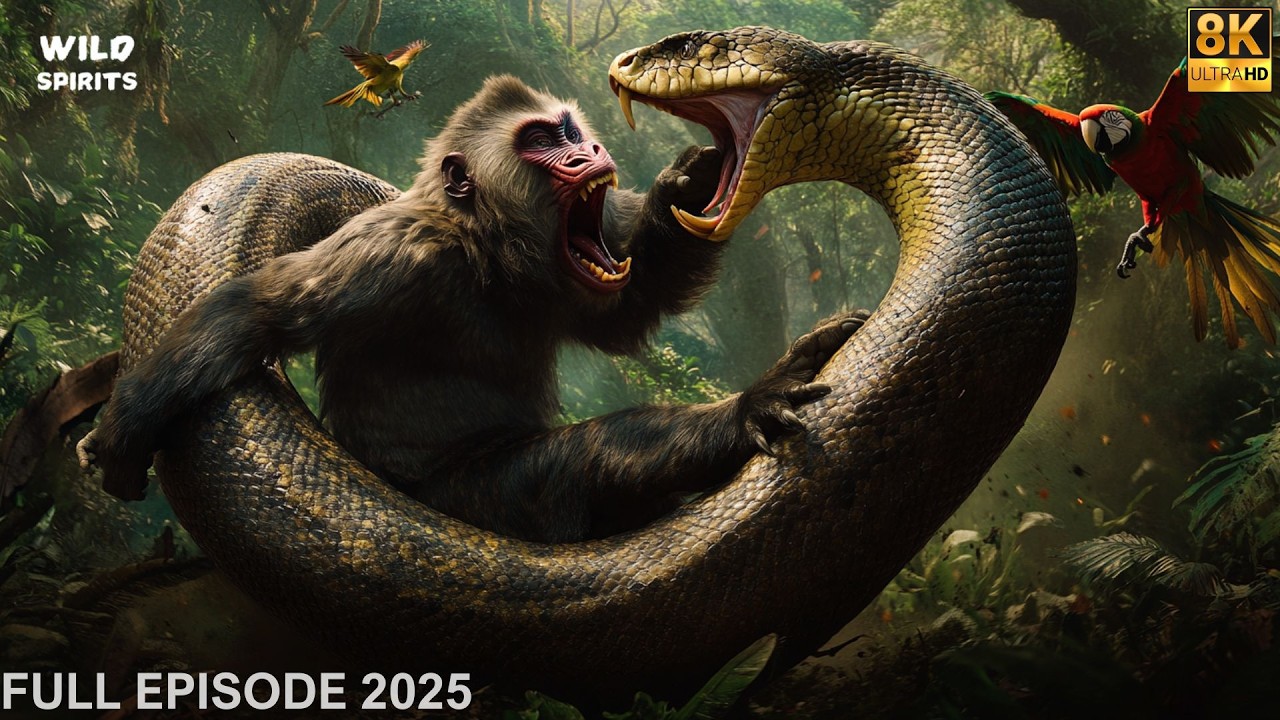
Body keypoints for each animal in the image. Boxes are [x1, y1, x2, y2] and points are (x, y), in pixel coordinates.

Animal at [84, 75, 864, 542]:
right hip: (465, 500)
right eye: (543, 142)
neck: (483, 248)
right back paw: (741, 415)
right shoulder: (389, 252)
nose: (589, 150)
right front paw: (124, 430)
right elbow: (261, 310)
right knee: (583, 461)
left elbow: (619, 316)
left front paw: (689, 185)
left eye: (569, 131)